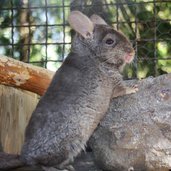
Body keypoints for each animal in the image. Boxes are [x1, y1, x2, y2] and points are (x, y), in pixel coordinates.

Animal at [0, 11, 137, 171]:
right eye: (110, 41)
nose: (132, 52)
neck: (93, 56)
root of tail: (24, 156)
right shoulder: (113, 84)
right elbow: (123, 89)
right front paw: (134, 88)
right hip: (69, 144)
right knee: (41, 164)